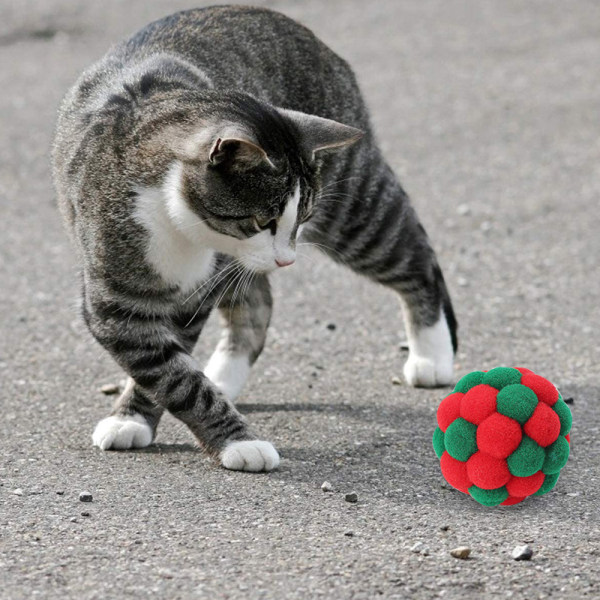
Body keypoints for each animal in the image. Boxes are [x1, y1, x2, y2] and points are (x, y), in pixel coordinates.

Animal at [52, 5, 460, 474]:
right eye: (263, 220)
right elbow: (169, 372)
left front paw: (231, 441)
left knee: (415, 256)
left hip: (355, 209)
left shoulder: (194, 296)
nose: (287, 259)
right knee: (257, 304)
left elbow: (173, 368)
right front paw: (141, 418)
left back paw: (432, 356)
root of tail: (280, 18)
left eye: (301, 218)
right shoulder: (113, 301)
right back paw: (223, 377)